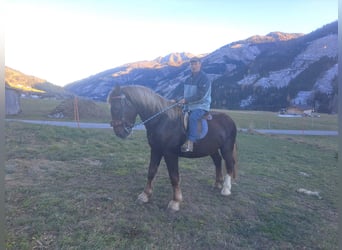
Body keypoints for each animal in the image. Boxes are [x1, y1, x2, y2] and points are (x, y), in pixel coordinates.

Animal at [108, 84, 236, 211]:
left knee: (229, 164)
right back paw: (217, 183)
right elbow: (151, 171)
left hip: (226, 148)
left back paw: (226, 189)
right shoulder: (155, 150)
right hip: (212, 149)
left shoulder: (170, 154)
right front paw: (145, 195)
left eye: (116, 108)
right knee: (218, 161)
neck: (162, 121)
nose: (119, 132)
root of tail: (229, 119)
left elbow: (174, 177)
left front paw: (175, 202)